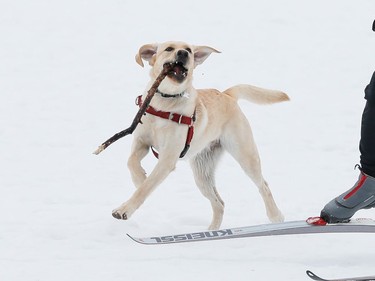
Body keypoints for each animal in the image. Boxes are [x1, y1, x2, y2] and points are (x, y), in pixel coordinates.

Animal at [113, 41, 290, 230]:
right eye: (169, 49)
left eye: (189, 50)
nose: (183, 54)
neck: (165, 103)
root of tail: (226, 94)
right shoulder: (141, 142)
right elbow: (131, 162)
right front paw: (139, 178)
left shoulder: (167, 159)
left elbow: (145, 188)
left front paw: (124, 209)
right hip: (202, 172)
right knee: (219, 203)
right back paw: (212, 231)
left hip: (246, 156)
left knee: (263, 185)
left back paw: (275, 216)